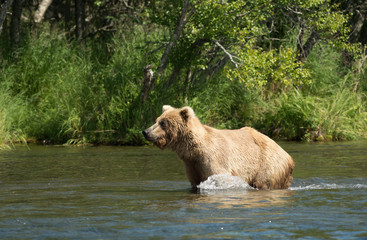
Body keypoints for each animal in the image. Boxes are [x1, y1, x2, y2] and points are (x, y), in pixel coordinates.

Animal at [142, 105, 294, 189]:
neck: (193, 150)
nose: (146, 132)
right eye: (156, 120)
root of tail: (289, 157)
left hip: (268, 164)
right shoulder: (191, 164)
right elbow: (194, 182)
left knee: (264, 182)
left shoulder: (213, 158)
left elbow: (219, 177)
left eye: (163, 123)